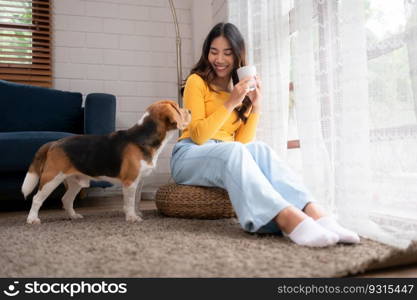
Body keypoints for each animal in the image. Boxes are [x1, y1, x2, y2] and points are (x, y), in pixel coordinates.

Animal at [22, 99, 190, 224]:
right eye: (177, 107)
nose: (189, 111)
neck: (143, 136)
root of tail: (54, 143)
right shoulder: (130, 181)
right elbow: (129, 202)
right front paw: (132, 217)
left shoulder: (139, 181)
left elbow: (136, 200)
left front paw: (137, 213)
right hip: (51, 179)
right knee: (37, 199)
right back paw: (32, 219)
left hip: (76, 181)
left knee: (66, 199)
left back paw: (73, 216)